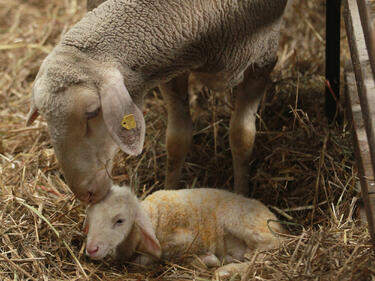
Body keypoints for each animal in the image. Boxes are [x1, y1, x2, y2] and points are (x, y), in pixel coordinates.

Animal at [26, 0, 290, 201]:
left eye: (91, 112)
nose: (85, 194)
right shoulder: (174, 71)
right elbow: (177, 140)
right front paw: (170, 193)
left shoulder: (262, 62)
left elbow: (242, 136)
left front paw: (242, 196)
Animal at [84, 184, 284, 276]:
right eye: (91, 218)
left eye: (120, 220)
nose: (91, 249)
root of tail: (277, 222)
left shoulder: (184, 241)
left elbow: (144, 261)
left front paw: (208, 260)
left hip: (240, 221)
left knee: (268, 249)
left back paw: (226, 270)